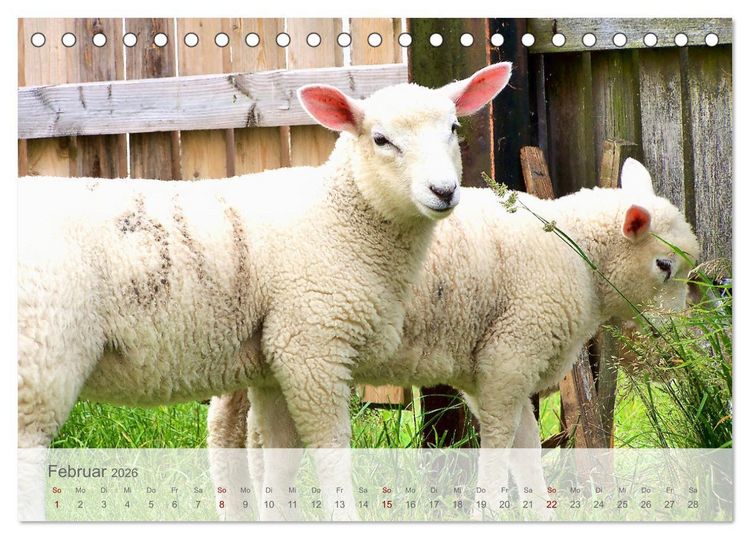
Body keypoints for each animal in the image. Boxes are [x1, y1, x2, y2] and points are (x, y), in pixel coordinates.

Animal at [17, 62, 513, 520]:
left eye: (453, 129)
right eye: (380, 140)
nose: (444, 191)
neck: (341, 217)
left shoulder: (275, 360)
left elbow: (279, 458)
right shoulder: (311, 346)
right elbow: (331, 449)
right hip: (42, 353)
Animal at [208, 158, 700, 519]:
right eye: (663, 265)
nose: (674, 335)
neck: (574, 249)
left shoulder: (501, 370)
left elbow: (526, 449)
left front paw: (539, 514)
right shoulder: (511, 354)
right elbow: (501, 443)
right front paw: (489, 510)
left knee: (234, 429)